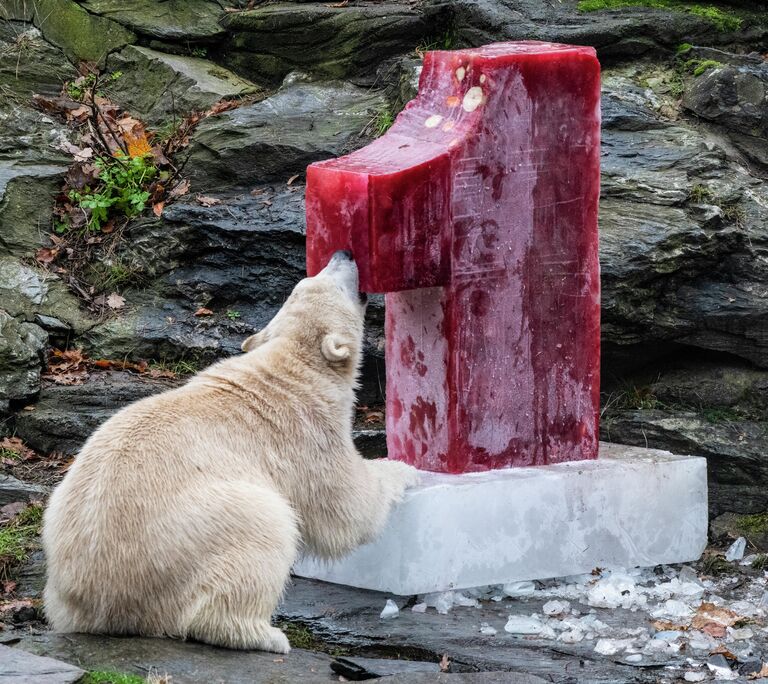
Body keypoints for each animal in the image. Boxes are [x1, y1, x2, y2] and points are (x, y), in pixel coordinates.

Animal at [42, 250, 420, 652]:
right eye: (334, 281)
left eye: (309, 279)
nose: (343, 254)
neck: (294, 362)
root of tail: (98, 601)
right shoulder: (309, 430)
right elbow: (348, 509)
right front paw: (403, 469)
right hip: (196, 528)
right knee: (266, 528)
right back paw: (265, 635)